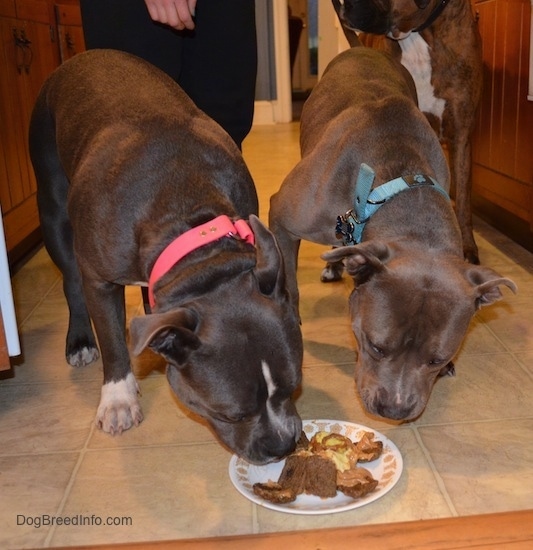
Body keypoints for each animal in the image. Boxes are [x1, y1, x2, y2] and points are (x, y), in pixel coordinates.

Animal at [29, 50, 304, 466]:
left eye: (293, 388)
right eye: (231, 414)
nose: (282, 446)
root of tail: (82, 57)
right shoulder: (99, 280)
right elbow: (112, 339)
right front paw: (118, 397)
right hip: (52, 207)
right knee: (71, 283)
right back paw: (80, 342)